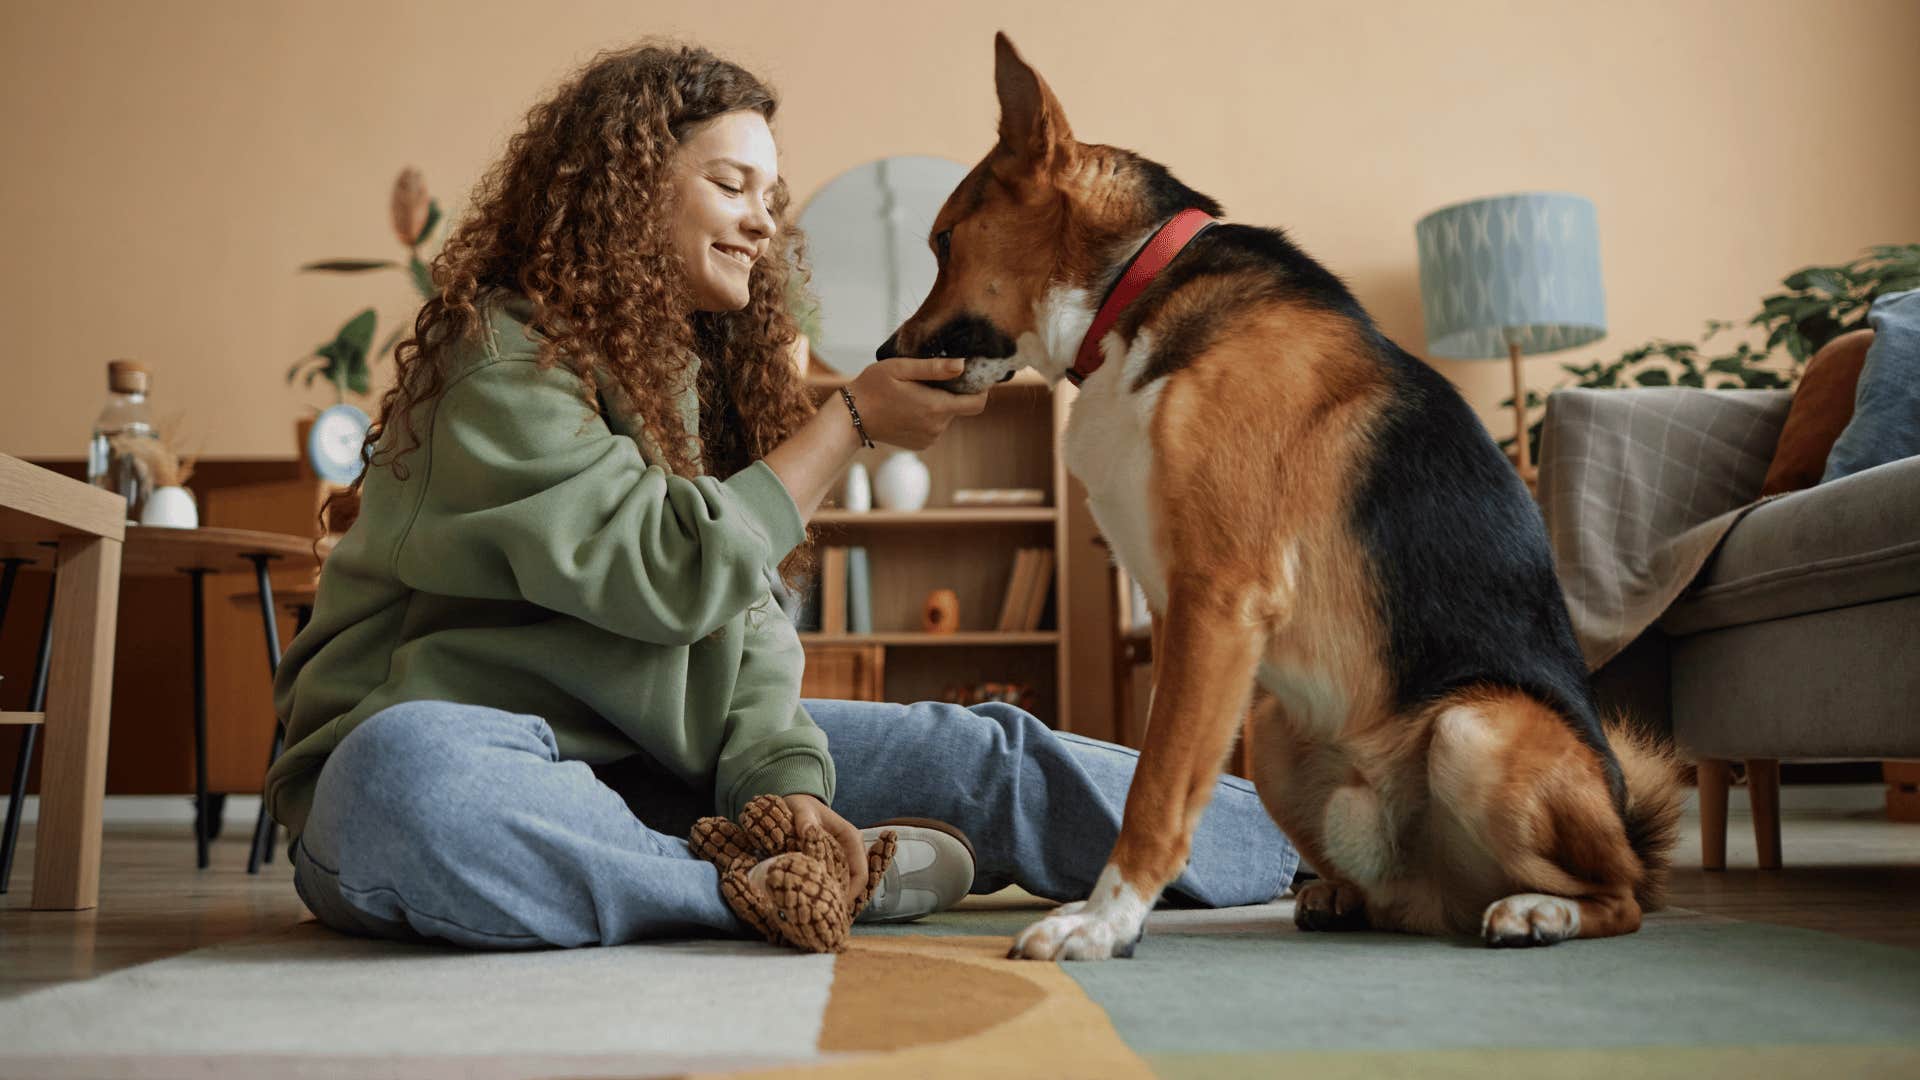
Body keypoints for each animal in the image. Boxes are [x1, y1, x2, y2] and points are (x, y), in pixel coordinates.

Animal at [879, 35, 1681, 957]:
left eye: (943, 240)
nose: (881, 354)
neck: (1134, 293)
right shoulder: (1182, 618)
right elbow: (1162, 765)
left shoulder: (1219, 598)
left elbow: (1157, 789)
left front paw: (1102, 922)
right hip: (1270, 734)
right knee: (1399, 897)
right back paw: (1346, 898)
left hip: (1471, 730)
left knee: (1623, 895)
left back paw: (1539, 912)